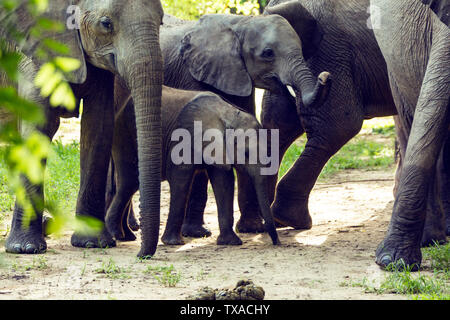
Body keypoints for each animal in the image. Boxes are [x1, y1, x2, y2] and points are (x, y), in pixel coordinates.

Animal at [2, 0, 164, 256]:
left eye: (161, 21)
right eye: (106, 24)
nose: (141, 255)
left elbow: (98, 124)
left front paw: (93, 243)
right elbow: (40, 124)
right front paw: (25, 248)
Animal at [107, 85, 280, 245]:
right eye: (246, 153)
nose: (276, 242)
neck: (228, 115)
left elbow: (223, 182)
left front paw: (230, 242)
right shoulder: (184, 138)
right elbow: (181, 180)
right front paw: (173, 243)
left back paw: (125, 236)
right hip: (124, 133)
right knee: (130, 181)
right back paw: (117, 234)